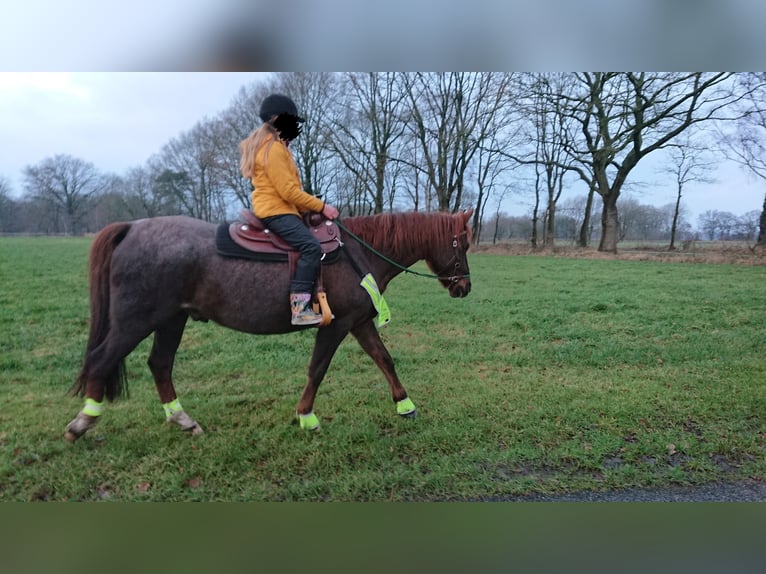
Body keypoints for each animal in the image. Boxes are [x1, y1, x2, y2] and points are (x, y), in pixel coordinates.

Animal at [65, 209, 473, 441]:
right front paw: (306, 417)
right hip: (135, 320)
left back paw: (182, 420)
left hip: (170, 319)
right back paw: (82, 424)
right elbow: (317, 369)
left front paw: (406, 405)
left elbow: (384, 359)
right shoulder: (336, 326)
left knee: (160, 365)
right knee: (101, 360)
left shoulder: (358, 323)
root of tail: (131, 228)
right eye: (463, 245)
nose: (464, 288)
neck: (358, 251)